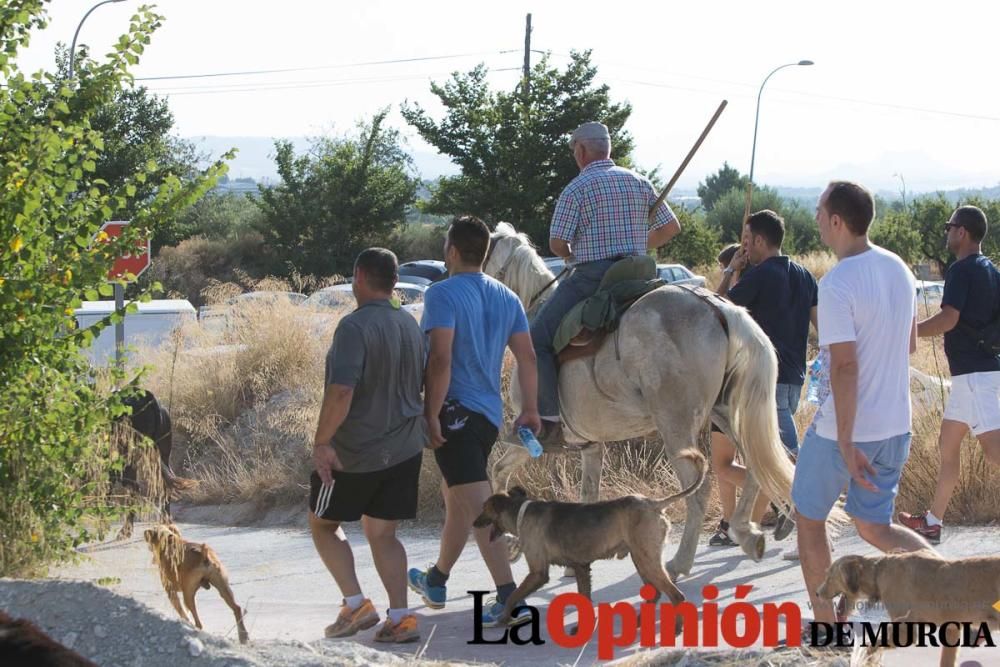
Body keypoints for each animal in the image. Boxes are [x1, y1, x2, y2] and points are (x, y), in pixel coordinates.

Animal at [472, 448, 708, 628]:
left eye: (484, 509)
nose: (473, 524)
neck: (521, 511)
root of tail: (654, 504)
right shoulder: (581, 567)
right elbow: (583, 598)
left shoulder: (538, 573)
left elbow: (514, 595)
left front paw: (503, 618)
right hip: (641, 558)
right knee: (656, 593)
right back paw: (640, 622)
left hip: (647, 559)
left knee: (675, 595)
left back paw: (676, 628)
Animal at [482, 224, 796, 580]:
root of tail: (719, 308)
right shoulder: (591, 445)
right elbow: (587, 495)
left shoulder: (528, 436)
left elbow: (498, 472)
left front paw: (510, 544)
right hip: (727, 415)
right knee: (758, 467)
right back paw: (748, 533)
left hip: (676, 426)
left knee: (699, 490)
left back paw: (679, 562)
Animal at [816, 552, 996, 664]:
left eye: (829, 576)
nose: (817, 593)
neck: (877, 573)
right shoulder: (952, 629)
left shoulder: (904, 631)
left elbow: (871, 645)